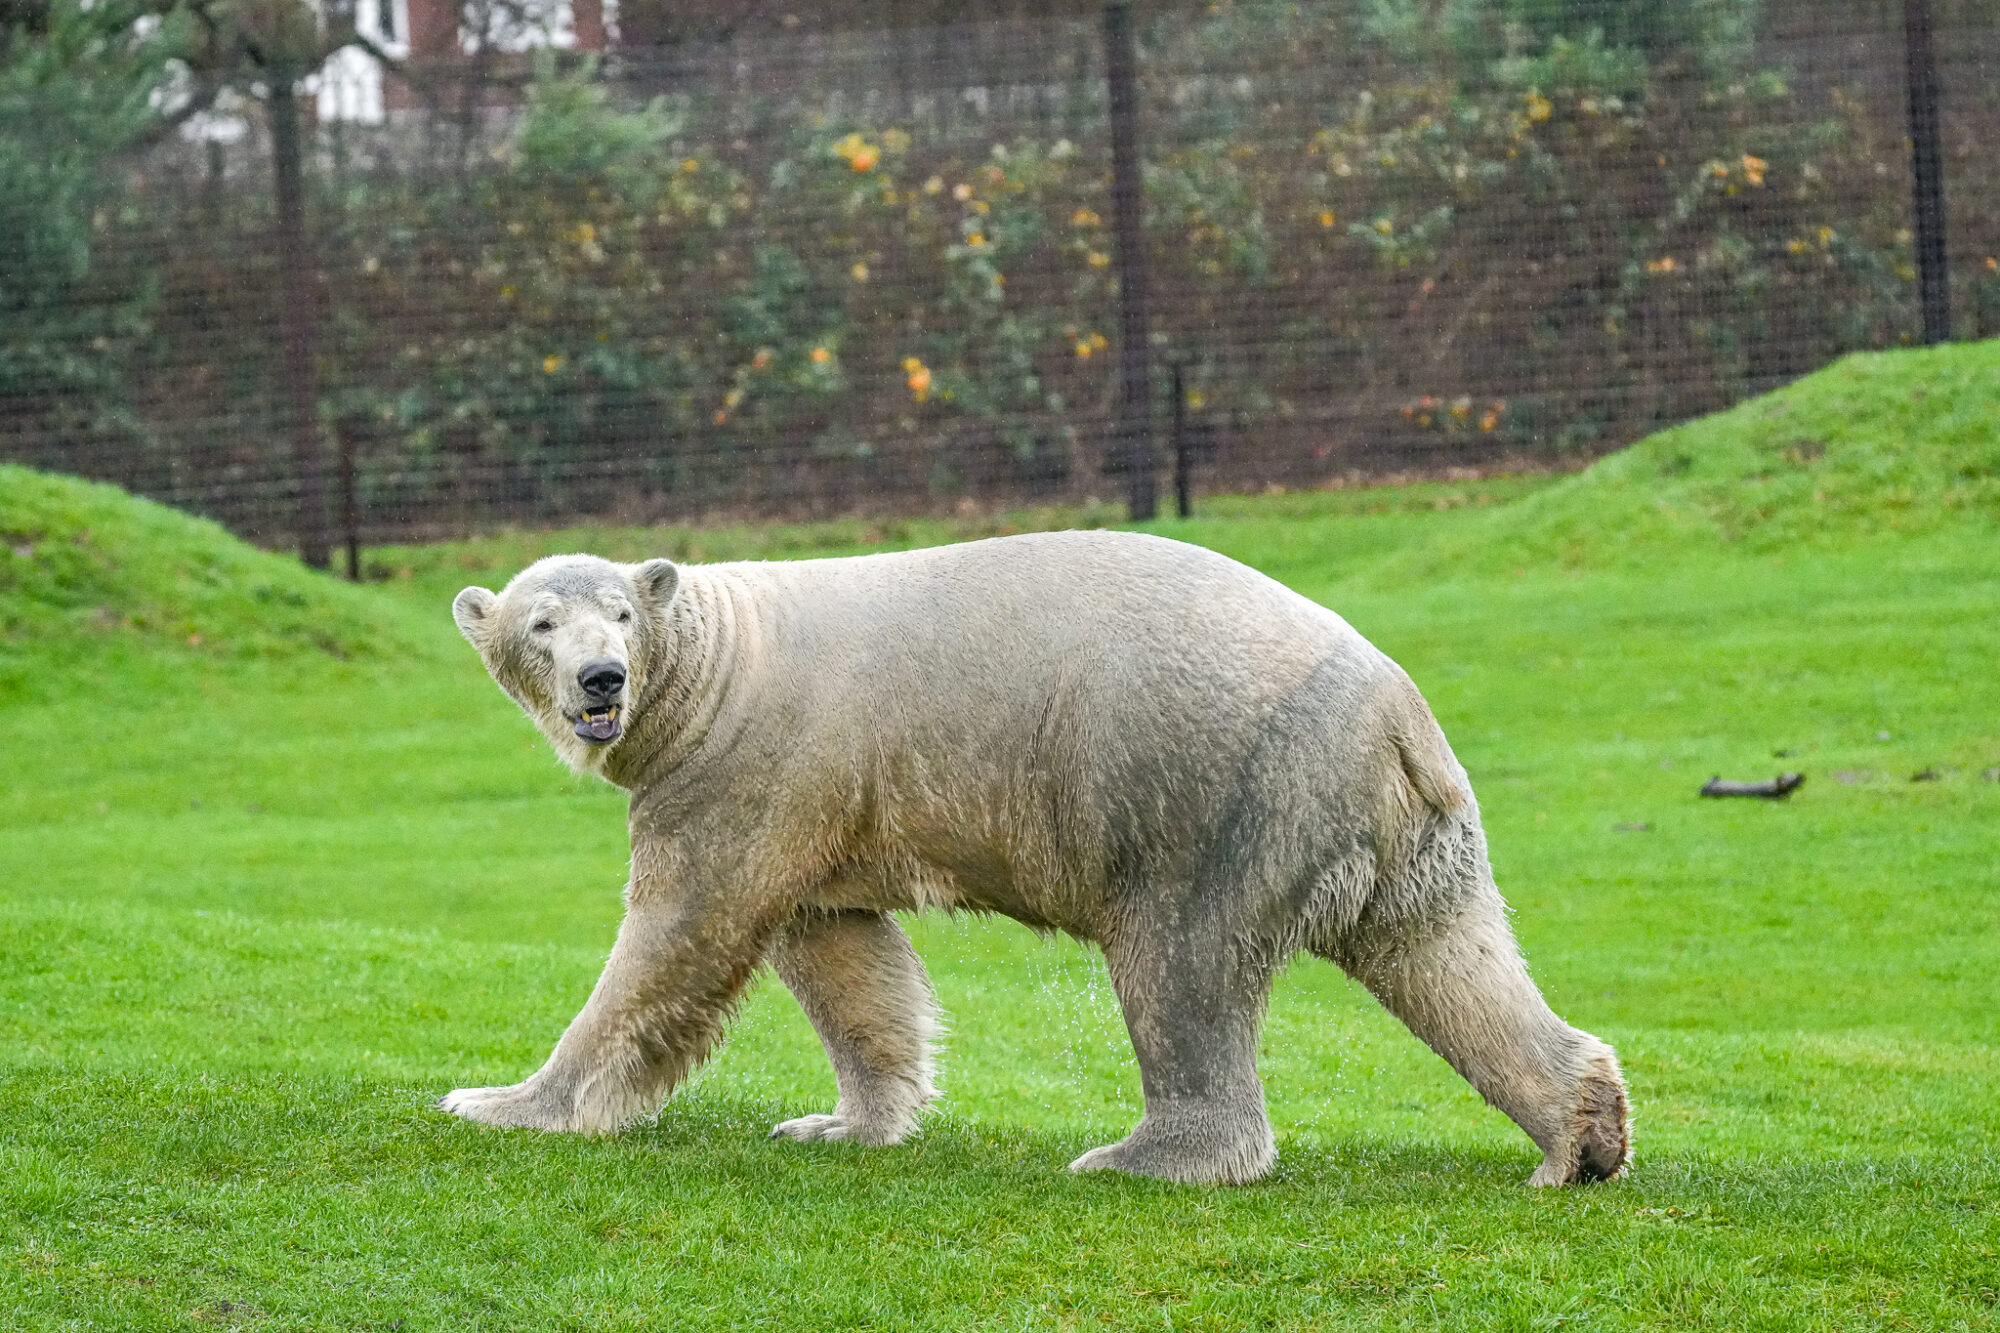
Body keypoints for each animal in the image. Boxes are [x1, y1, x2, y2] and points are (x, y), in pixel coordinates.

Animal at [443, 530, 1629, 1186]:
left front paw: (502, 1100)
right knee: (1442, 952)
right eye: (541, 622)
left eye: (617, 613)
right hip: (1399, 825)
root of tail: (1396, 714)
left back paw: (1145, 1156)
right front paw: (839, 1121)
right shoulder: (819, 797)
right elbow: (841, 953)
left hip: (1210, 787)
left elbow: (678, 938)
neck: (719, 663)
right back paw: (1580, 1134)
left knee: (1180, 963)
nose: (600, 679)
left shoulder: (743, 770)